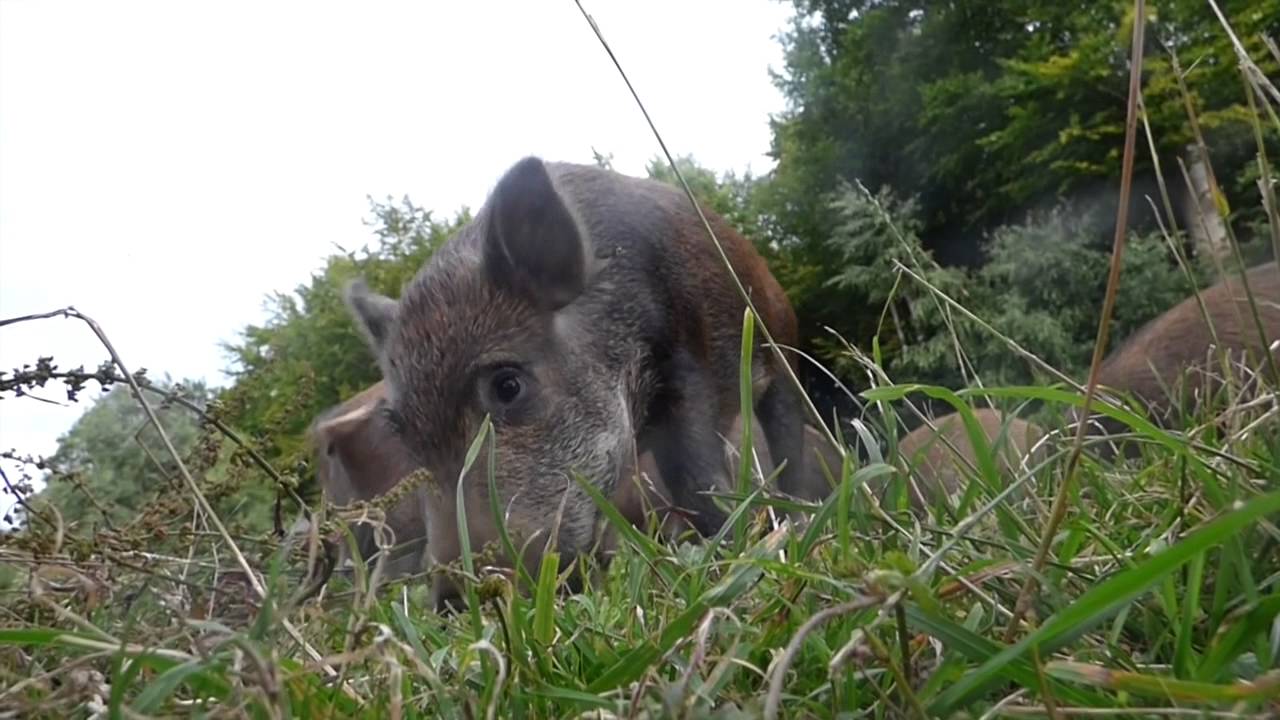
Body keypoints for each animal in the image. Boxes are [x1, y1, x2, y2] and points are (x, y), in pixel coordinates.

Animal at [343, 156, 805, 610]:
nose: (454, 600)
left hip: (784, 350)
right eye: (401, 430)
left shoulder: (686, 359)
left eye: (507, 386)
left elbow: (695, 476)